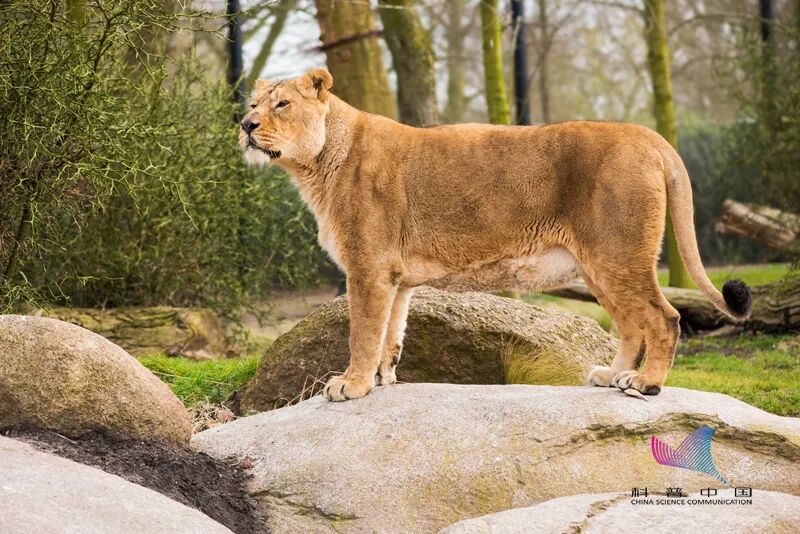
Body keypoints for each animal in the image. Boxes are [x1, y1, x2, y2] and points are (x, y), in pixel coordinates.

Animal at [239, 68, 752, 402]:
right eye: (252, 104)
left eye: (282, 104)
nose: (245, 126)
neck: (316, 165)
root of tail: (652, 138)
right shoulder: (394, 278)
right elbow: (390, 334)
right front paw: (382, 382)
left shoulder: (368, 267)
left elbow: (362, 333)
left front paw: (352, 385)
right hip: (598, 267)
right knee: (631, 325)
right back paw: (612, 376)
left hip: (619, 256)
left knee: (664, 318)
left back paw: (648, 383)